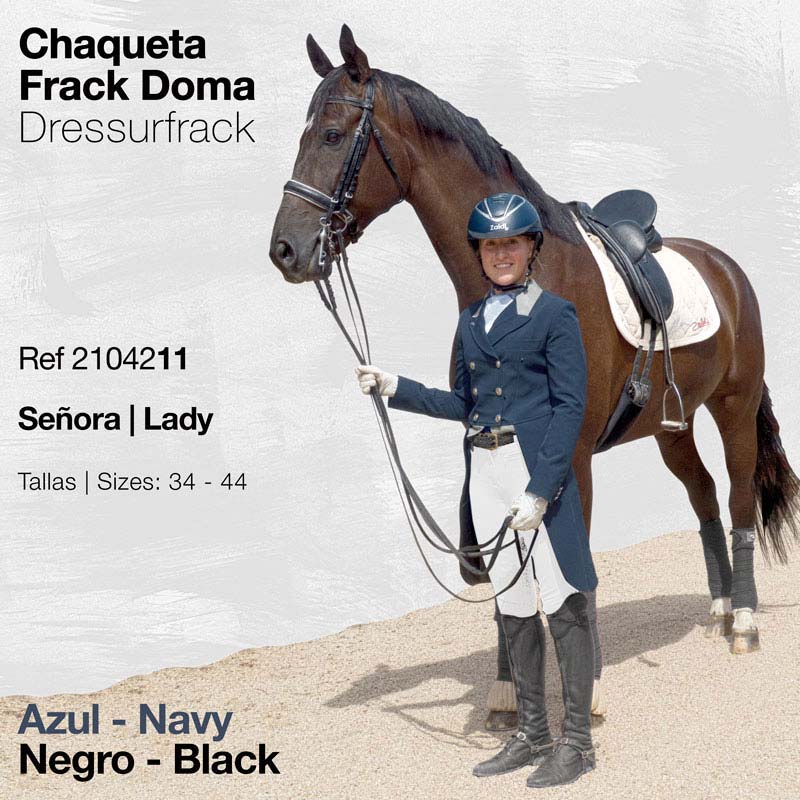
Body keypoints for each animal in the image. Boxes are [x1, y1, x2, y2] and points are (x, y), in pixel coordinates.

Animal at [269, 24, 799, 725]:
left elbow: (572, 569)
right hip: (672, 426)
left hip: (732, 408)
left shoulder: (568, 458)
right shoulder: (488, 449)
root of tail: (726, 267)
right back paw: (715, 610)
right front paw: (506, 690)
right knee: (705, 496)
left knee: (738, 498)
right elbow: (497, 570)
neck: (522, 281)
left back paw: (742, 622)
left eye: (331, 135)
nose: (286, 250)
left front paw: (588, 690)